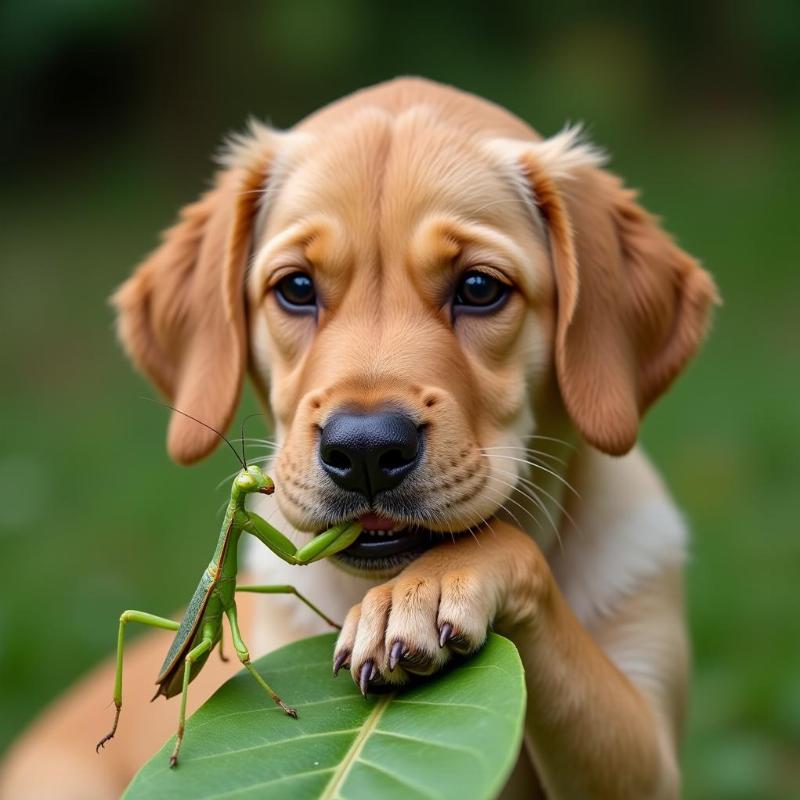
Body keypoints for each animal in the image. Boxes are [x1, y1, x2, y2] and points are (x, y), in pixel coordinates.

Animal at [0, 76, 720, 800]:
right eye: (294, 287)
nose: (365, 453)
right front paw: (290, 694)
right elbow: (258, 645)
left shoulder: (649, 751)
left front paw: (418, 594)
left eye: (480, 287)